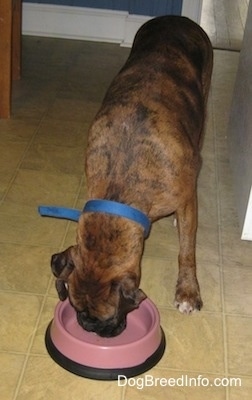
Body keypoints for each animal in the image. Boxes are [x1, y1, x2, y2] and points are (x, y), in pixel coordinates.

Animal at [50, 17, 213, 340]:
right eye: (76, 308)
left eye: (108, 315)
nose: (89, 328)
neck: (122, 178)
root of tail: (177, 18)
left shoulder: (186, 201)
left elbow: (187, 250)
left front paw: (188, 291)